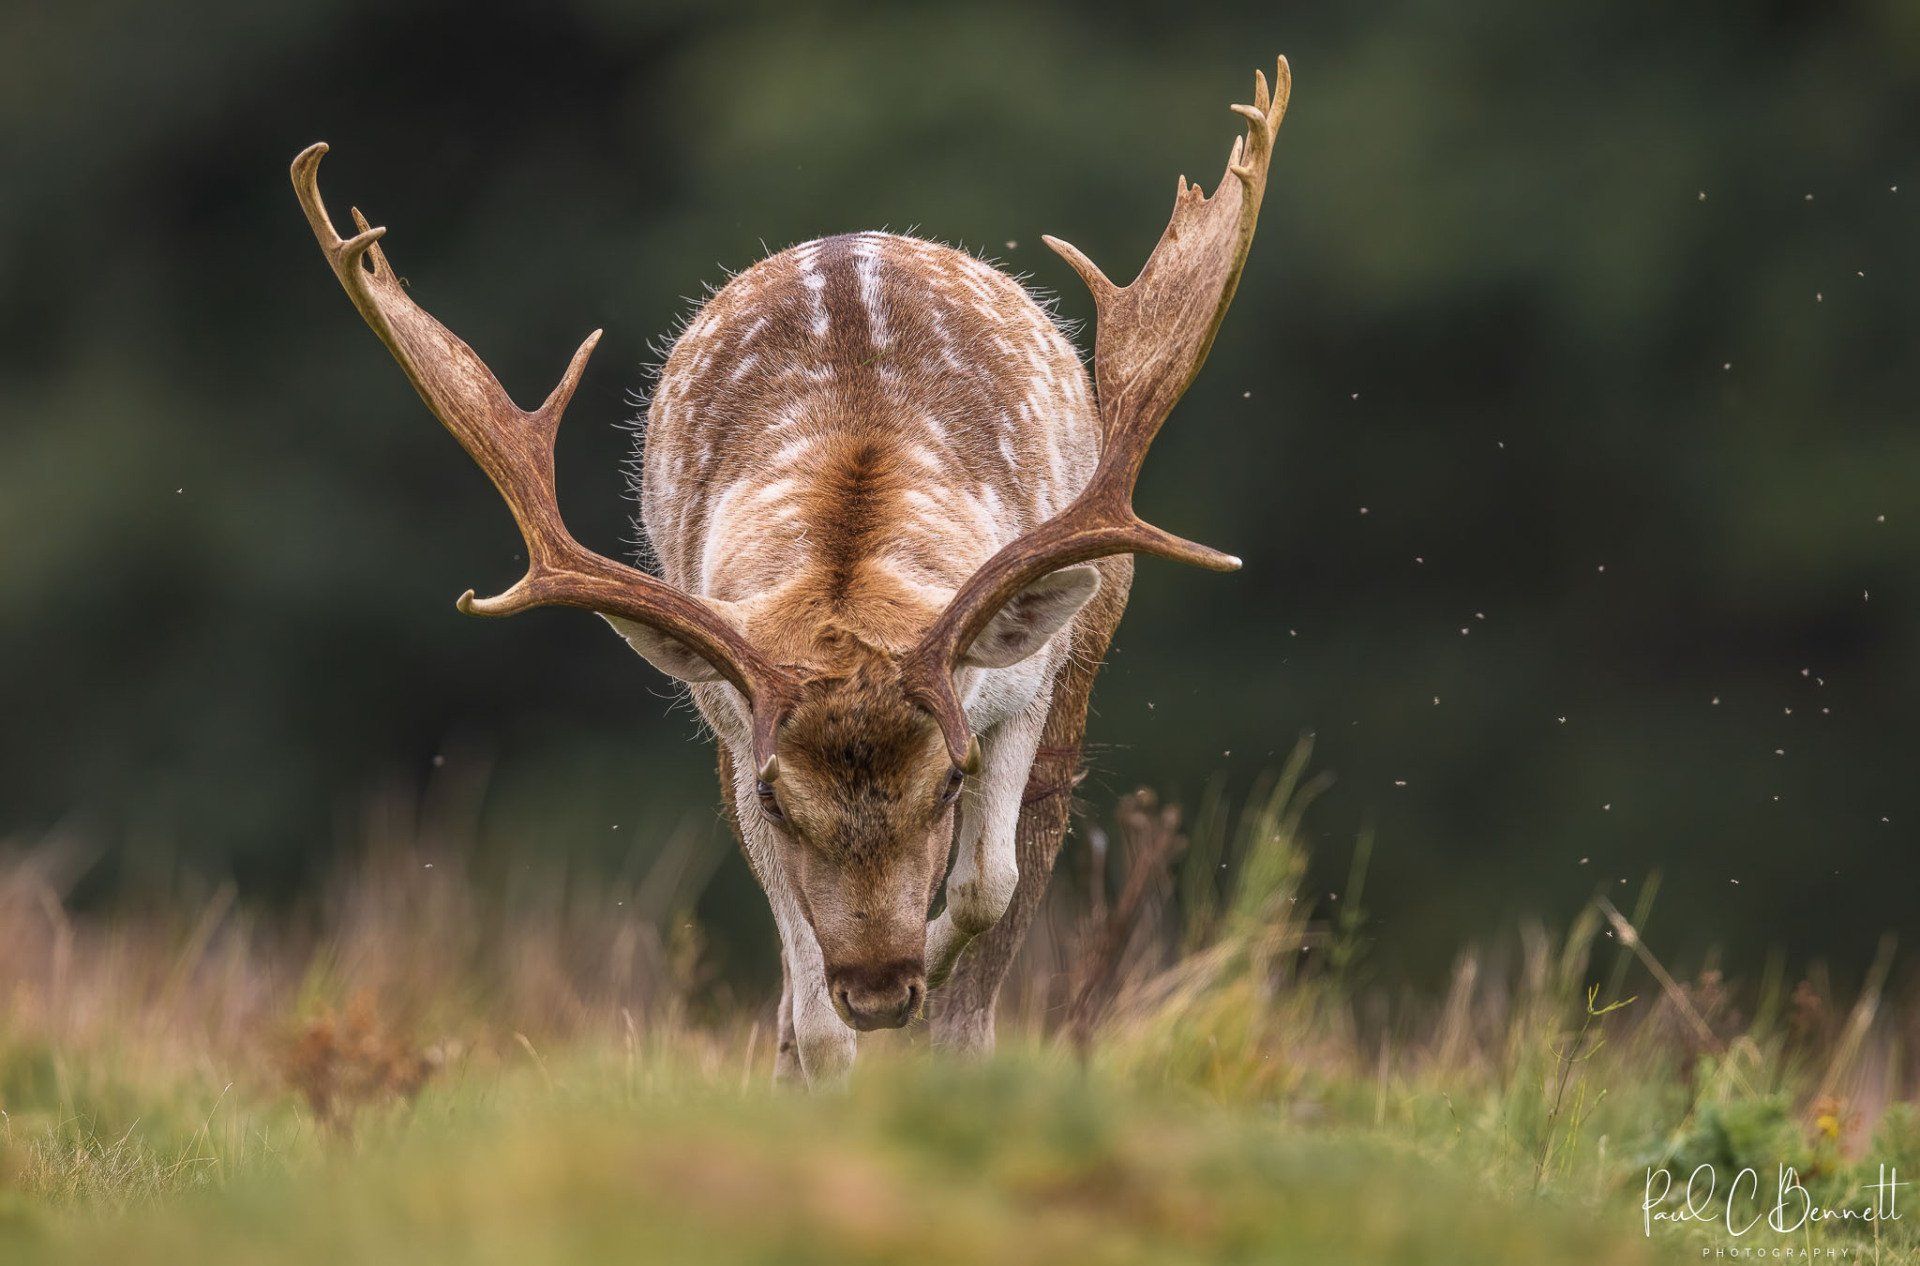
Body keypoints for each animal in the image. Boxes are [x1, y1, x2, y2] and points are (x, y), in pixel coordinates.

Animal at [291, 57, 1289, 1085]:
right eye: (782, 798)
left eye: (949, 781)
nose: (883, 989)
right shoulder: (736, 730)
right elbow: (815, 1012)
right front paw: (827, 1051)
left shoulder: (1023, 685)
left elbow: (988, 883)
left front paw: (930, 987)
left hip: (1084, 653)